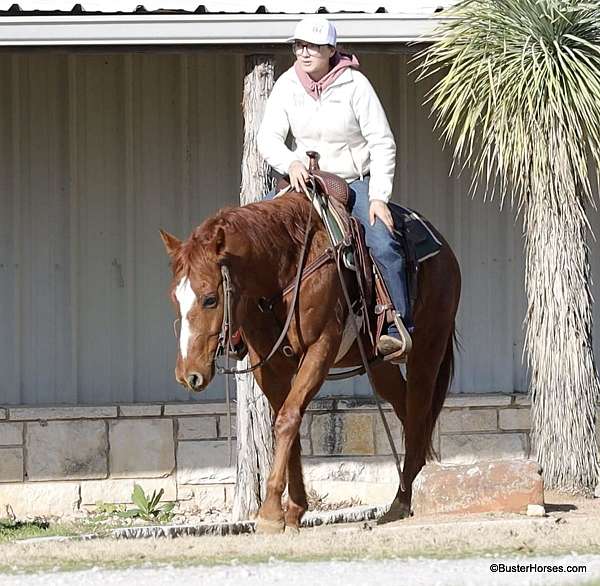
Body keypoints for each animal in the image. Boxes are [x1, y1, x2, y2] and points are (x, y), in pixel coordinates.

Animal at [159, 190, 460, 528]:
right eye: (175, 297)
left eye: (210, 298)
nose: (188, 374)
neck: (282, 270)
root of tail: (444, 250)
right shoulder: (270, 365)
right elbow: (286, 423)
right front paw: (293, 509)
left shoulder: (320, 349)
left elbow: (289, 419)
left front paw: (271, 511)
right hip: (381, 366)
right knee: (407, 415)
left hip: (427, 351)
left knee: (419, 415)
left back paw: (401, 502)